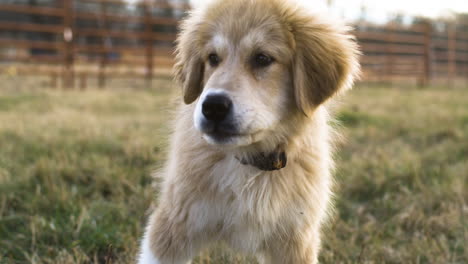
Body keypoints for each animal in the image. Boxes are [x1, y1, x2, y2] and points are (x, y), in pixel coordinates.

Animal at [137, 1, 360, 262]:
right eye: (213, 58)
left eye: (262, 58)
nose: (213, 107)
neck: (250, 163)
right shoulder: (174, 223)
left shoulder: (295, 237)